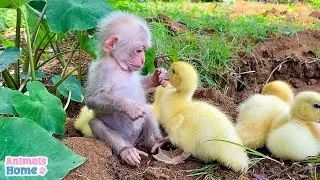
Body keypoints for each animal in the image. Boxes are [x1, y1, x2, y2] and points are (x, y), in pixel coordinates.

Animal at [84, 11, 169, 166]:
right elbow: (93, 99)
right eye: (139, 50)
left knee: (147, 110)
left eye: (144, 51)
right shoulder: (104, 69)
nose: (143, 60)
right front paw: (130, 107)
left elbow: (140, 85)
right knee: (95, 123)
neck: (119, 66)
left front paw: (157, 78)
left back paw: (155, 142)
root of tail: (132, 140)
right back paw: (127, 151)